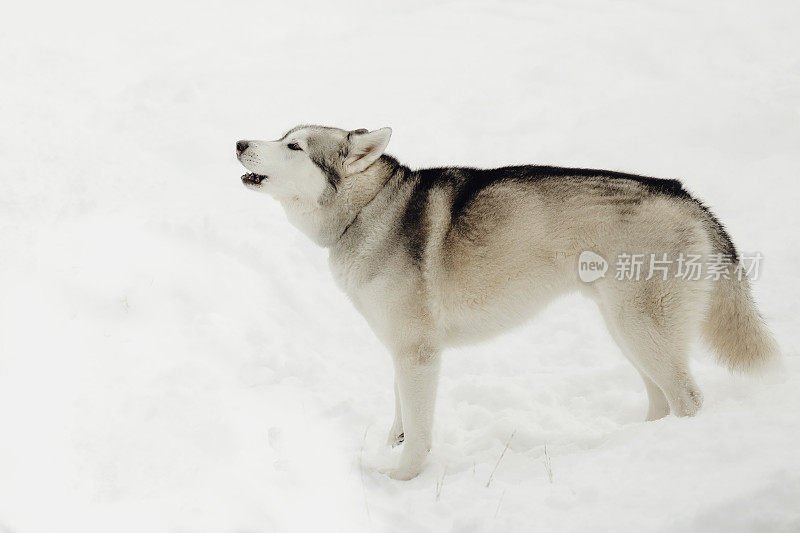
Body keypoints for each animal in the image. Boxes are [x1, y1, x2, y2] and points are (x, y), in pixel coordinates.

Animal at [234, 127, 780, 480]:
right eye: (283, 133)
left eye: (294, 146)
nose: (239, 143)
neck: (370, 208)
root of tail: (684, 195)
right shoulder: (401, 346)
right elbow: (400, 411)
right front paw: (393, 445)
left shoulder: (417, 351)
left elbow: (419, 426)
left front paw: (402, 480)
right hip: (626, 329)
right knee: (662, 399)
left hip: (641, 326)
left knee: (688, 399)